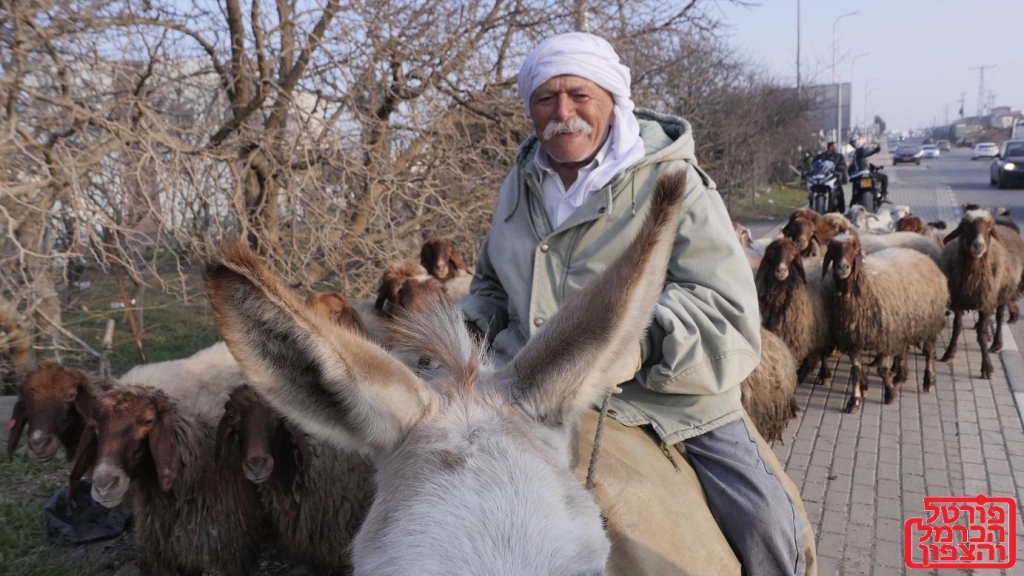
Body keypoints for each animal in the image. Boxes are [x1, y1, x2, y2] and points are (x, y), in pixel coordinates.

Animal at [757, 237, 835, 385]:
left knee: (823, 351)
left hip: (825, 328)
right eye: (771, 253)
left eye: (793, 255)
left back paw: (825, 374)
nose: (781, 270)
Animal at [819, 233, 946, 412]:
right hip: (903, 324)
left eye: (854, 249)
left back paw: (929, 381)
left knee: (928, 352)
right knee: (904, 351)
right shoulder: (854, 339)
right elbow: (856, 370)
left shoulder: (885, 337)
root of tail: (923, 256)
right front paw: (854, 400)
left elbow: (882, 369)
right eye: (833, 250)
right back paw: (901, 377)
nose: (842, 267)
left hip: (928, 321)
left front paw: (890, 394)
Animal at [937, 211, 1024, 377]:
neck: (973, 274)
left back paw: (997, 343)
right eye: (965, 228)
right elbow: (957, 328)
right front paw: (949, 353)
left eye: (989, 230)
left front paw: (987, 367)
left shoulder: (986, 302)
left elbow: (982, 335)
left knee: (999, 317)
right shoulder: (959, 301)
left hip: (1001, 293)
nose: (978, 245)